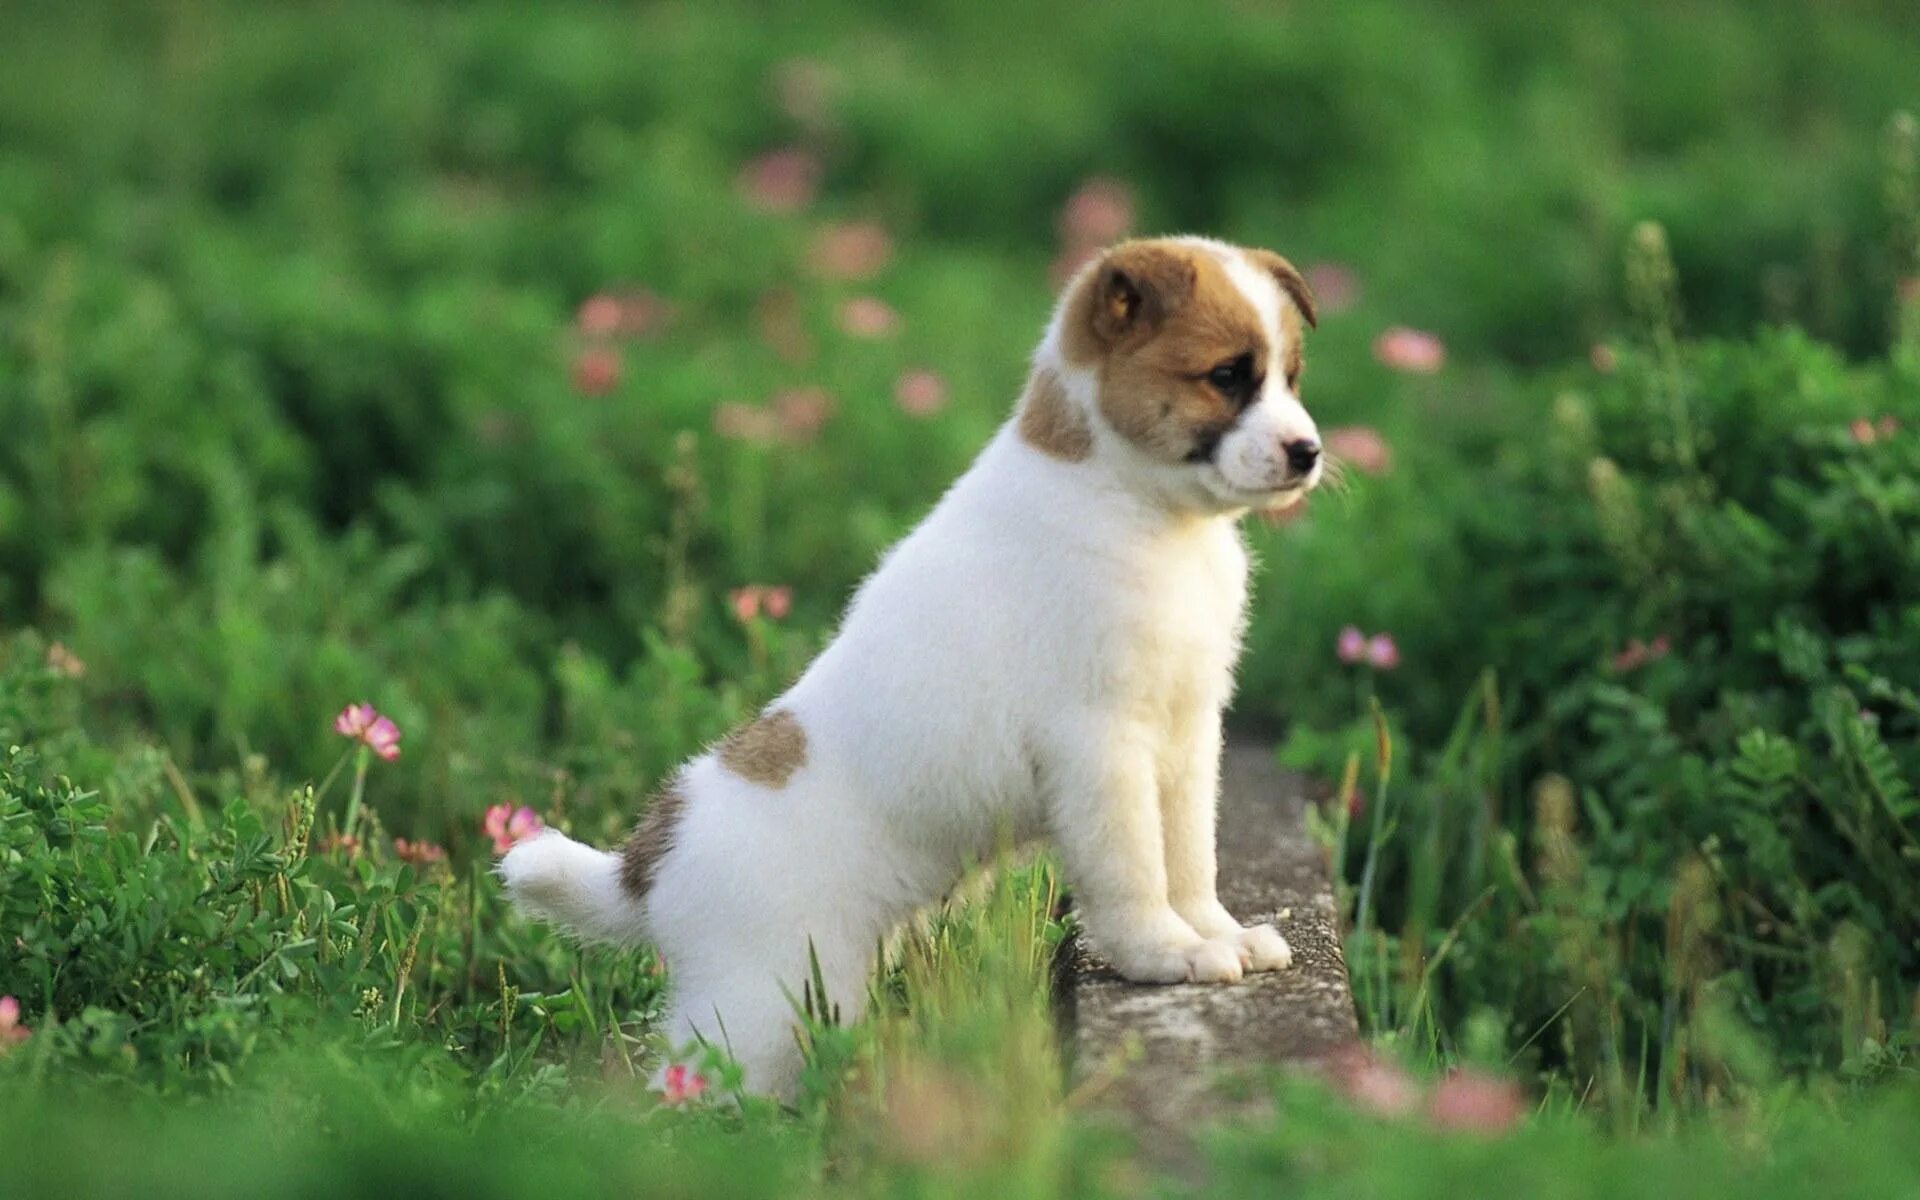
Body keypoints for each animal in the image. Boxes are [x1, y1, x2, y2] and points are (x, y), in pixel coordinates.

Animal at [503, 234, 1328, 1098]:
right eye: (1227, 376)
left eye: (1291, 376)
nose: (1309, 453)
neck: (1131, 502)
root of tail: (648, 864)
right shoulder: (1100, 749)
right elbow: (1134, 870)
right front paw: (1166, 955)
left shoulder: (1187, 735)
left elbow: (1189, 856)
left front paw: (1216, 934)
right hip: (760, 1007)